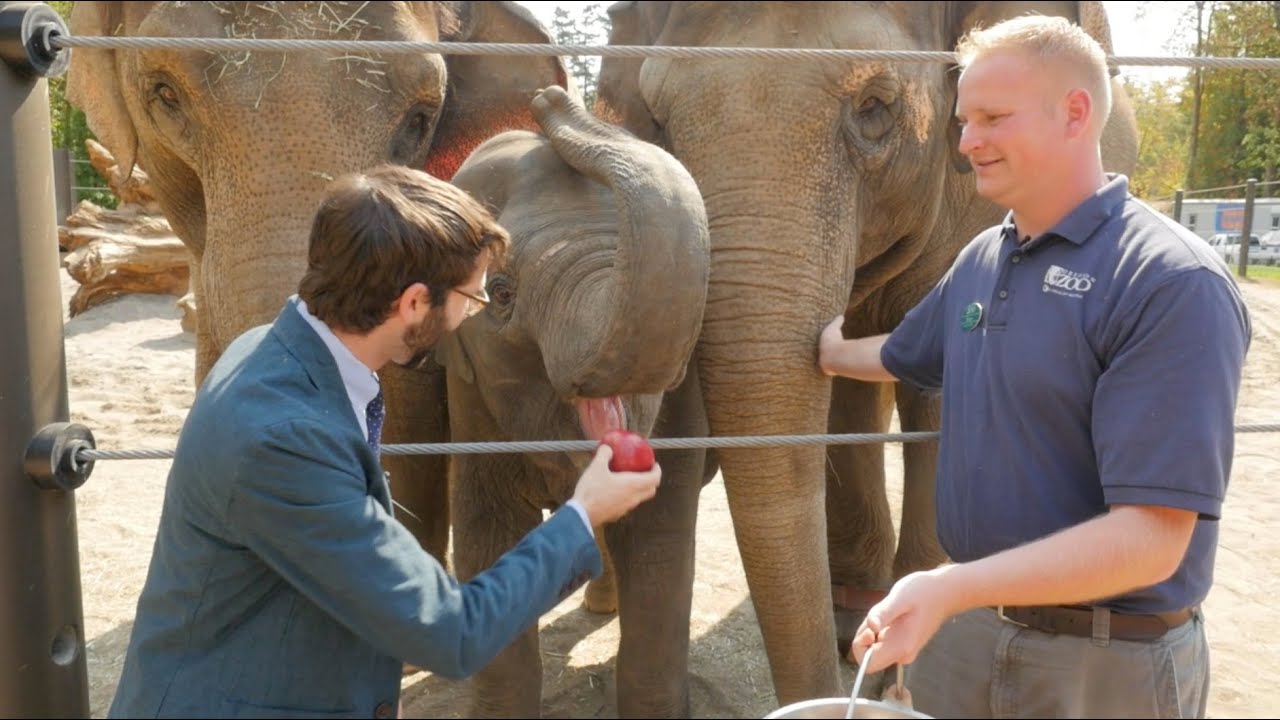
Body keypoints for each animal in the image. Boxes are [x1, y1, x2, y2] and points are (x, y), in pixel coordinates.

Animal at [595, 0, 1140, 707]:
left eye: (876, 106)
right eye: (658, 120)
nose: (855, 672)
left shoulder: (976, 203)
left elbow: (936, 394)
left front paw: (906, 638)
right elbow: (844, 393)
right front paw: (858, 624)